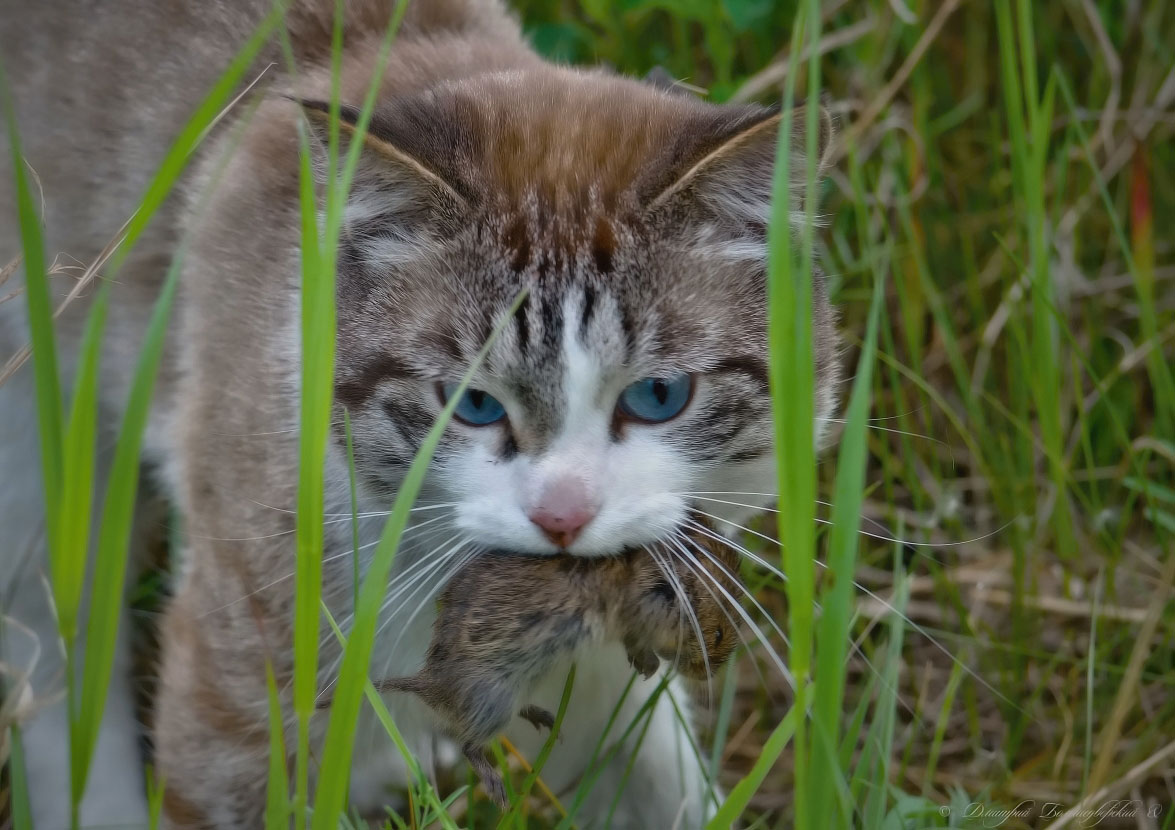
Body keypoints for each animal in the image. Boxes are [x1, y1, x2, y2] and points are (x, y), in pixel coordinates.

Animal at [0, 1, 836, 827]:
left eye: (657, 396)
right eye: (472, 404)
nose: (561, 518)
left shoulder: (587, 664)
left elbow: (664, 788)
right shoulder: (237, 702)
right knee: (53, 649)